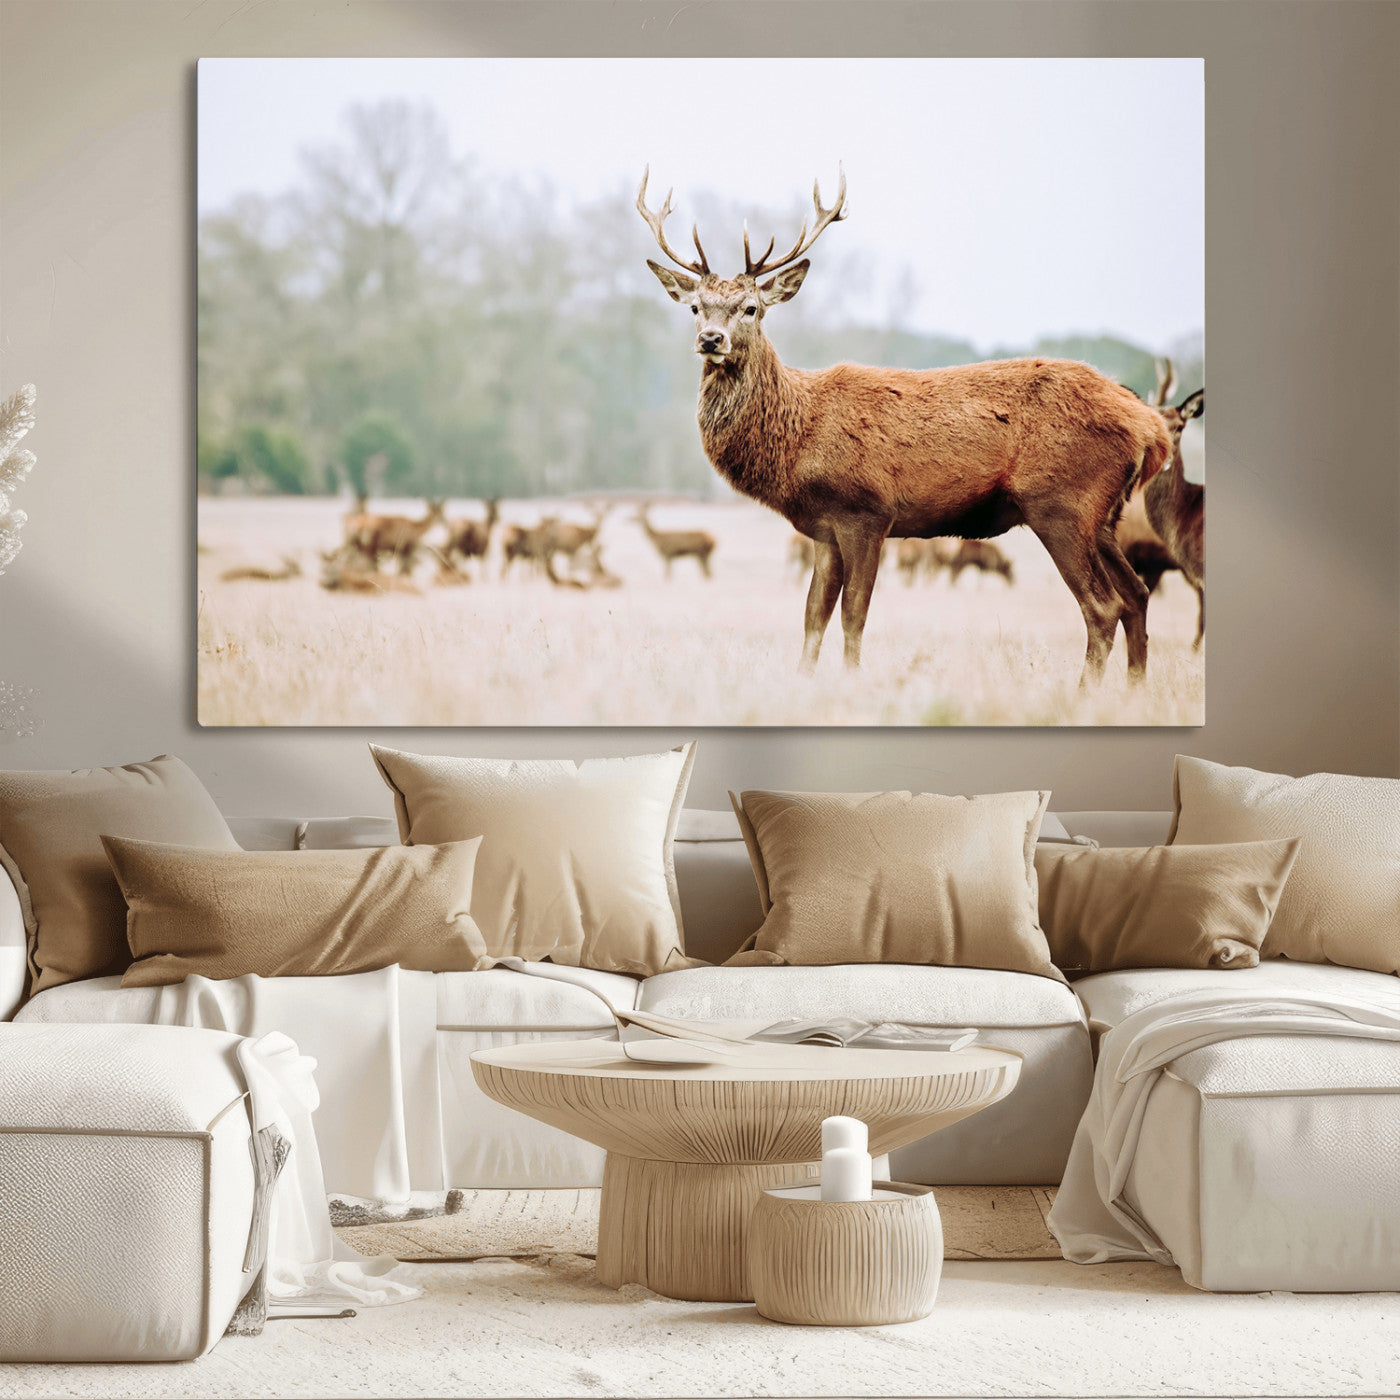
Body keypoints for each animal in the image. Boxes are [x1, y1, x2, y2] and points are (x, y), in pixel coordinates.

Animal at [638, 167, 1172, 683]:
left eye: (751, 308)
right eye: (695, 307)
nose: (711, 339)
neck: (798, 438)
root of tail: (1152, 428)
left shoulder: (866, 511)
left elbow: (854, 614)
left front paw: (853, 681)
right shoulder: (824, 528)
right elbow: (813, 616)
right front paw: (803, 682)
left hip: (1061, 502)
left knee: (1103, 606)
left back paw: (1086, 695)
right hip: (1104, 516)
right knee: (1137, 595)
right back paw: (1134, 691)